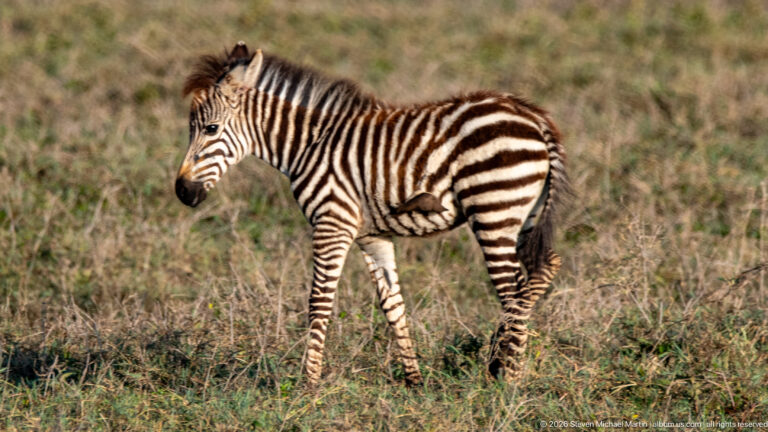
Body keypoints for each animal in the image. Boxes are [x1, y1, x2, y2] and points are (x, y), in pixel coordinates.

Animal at [175, 42, 569, 386]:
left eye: (210, 128)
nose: (182, 192)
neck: (308, 145)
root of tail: (534, 117)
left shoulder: (331, 223)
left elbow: (319, 301)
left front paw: (308, 384)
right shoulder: (372, 235)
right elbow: (392, 305)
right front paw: (414, 380)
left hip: (493, 209)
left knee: (512, 290)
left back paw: (508, 376)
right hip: (522, 214)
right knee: (544, 268)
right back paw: (499, 359)